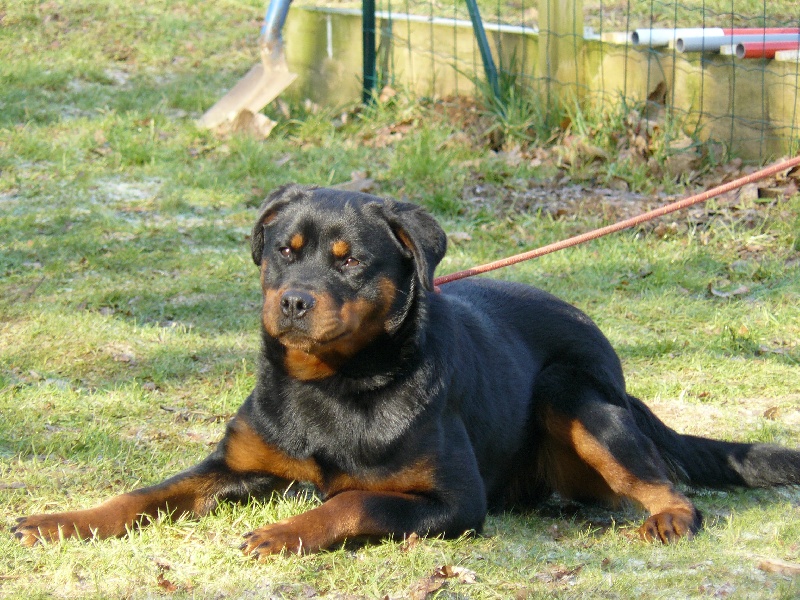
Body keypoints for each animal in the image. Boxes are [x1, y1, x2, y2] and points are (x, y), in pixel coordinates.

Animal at [12, 185, 800, 556]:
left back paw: (668, 518)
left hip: (577, 397)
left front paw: (284, 532)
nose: (292, 301)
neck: (331, 385)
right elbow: (142, 495)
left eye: (349, 260)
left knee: (668, 484)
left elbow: (353, 501)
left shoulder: (452, 501)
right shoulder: (232, 466)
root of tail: (615, 368)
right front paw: (62, 520)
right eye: (282, 251)